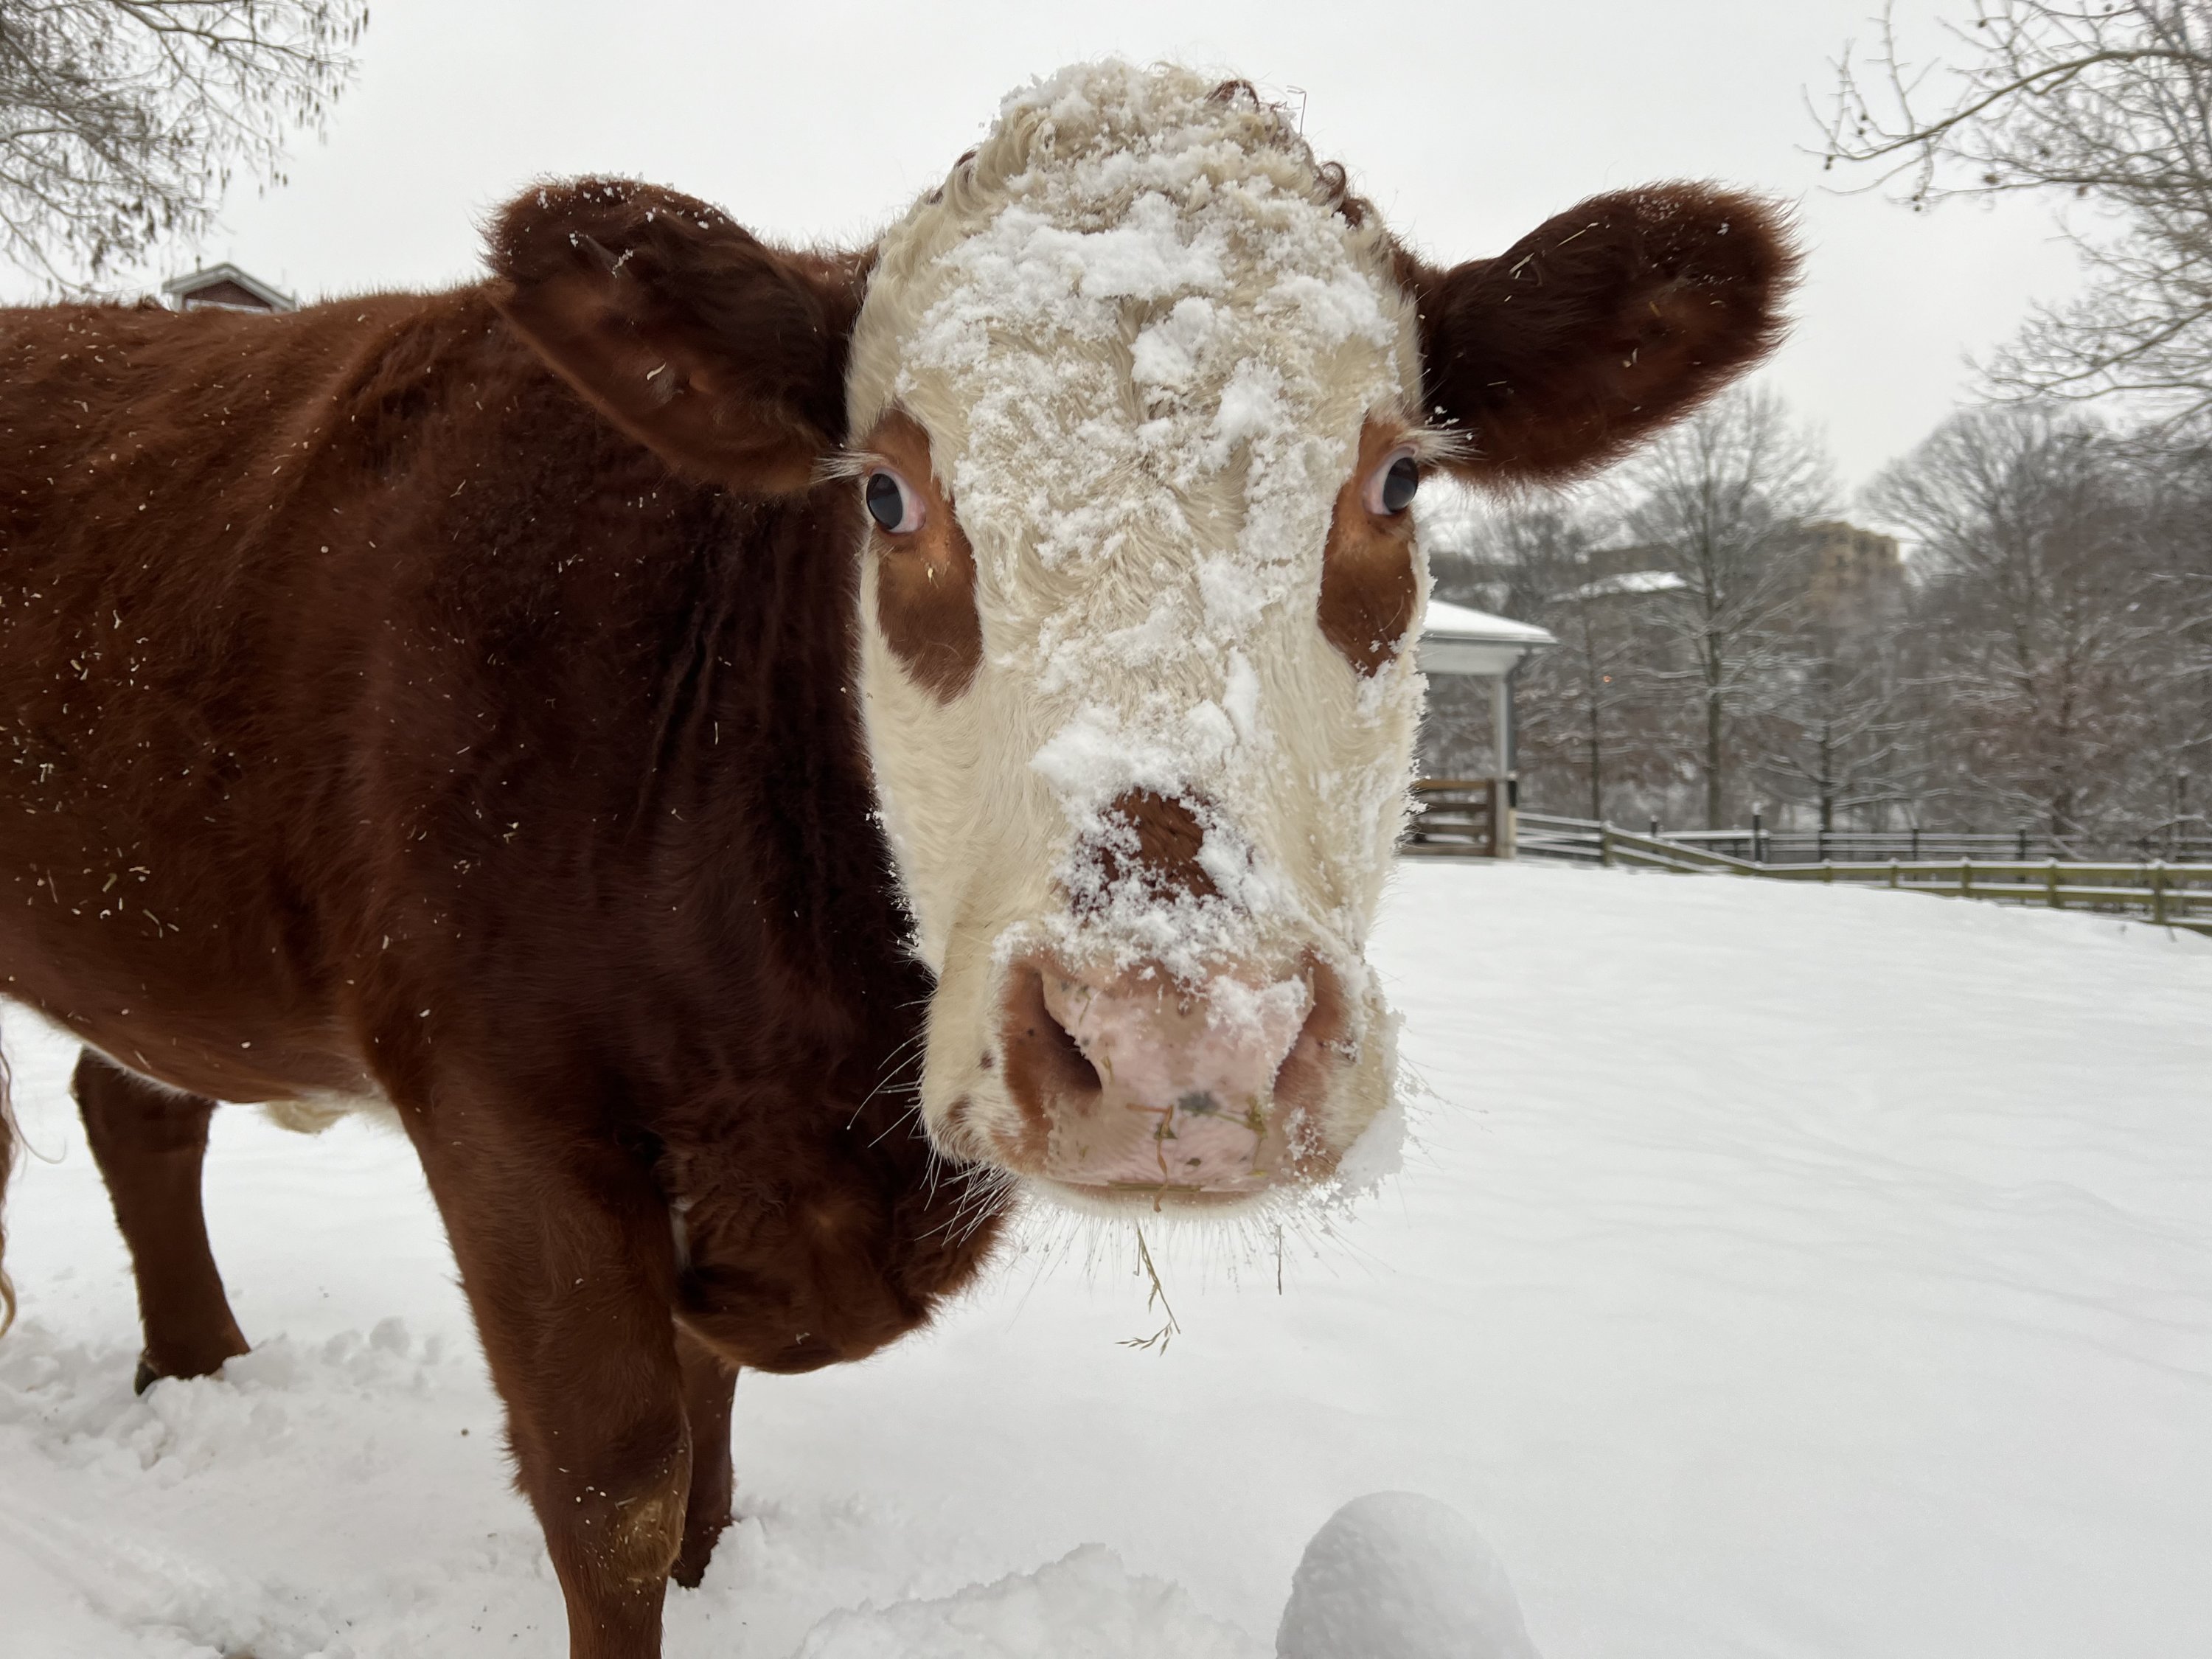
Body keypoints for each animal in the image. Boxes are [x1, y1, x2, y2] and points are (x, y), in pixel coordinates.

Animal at [0, 61, 1796, 1659]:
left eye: (1400, 476)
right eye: (886, 493)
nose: (1177, 1041)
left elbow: (706, 1459)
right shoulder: (500, 1099)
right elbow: (615, 1493)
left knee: (136, 1105)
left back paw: (198, 1370)